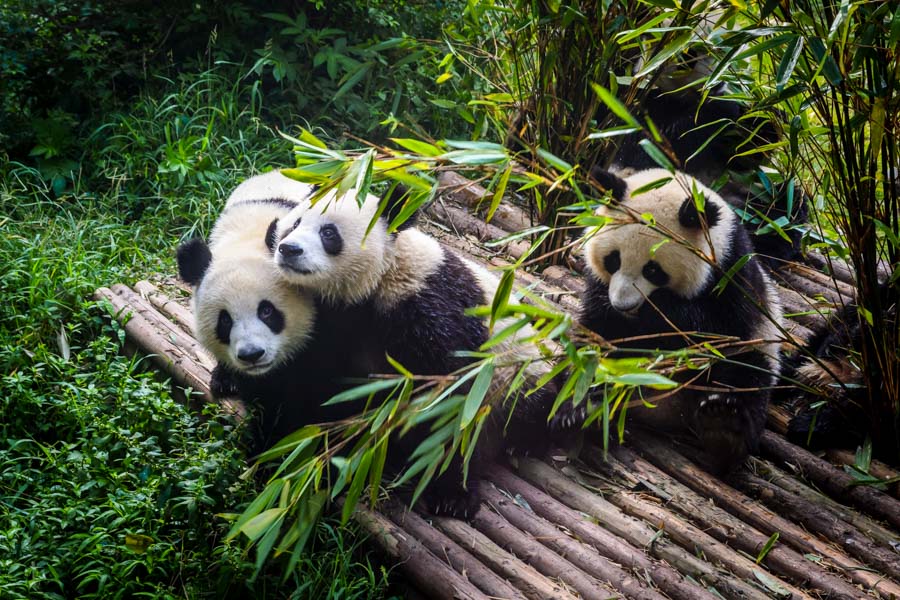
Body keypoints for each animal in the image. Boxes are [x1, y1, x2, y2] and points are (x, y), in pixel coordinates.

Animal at [267, 185, 559, 516]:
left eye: (328, 233)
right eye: (294, 223)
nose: (289, 249)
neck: (382, 277)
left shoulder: (431, 306)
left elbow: (451, 400)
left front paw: (452, 495)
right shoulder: (335, 322)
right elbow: (318, 383)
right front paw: (296, 443)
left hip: (519, 368)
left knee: (531, 402)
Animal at [579, 167, 784, 472]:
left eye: (652, 270)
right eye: (613, 260)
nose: (623, 304)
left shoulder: (733, 275)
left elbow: (713, 328)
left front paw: (660, 311)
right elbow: (598, 326)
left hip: (756, 349)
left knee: (746, 376)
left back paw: (723, 429)